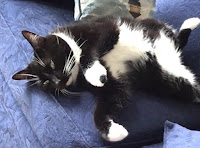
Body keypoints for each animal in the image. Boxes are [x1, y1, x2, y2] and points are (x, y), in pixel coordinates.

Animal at [12, 16, 200, 142]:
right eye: (45, 82)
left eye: (51, 63)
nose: (58, 81)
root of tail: (174, 55)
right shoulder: (115, 81)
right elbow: (111, 98)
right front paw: (112, 132)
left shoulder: (103, 28)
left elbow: (88, 49)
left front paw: (93, 73)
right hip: (168, 79)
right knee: (191, 88)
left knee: (177, 39)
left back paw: (191, 21)